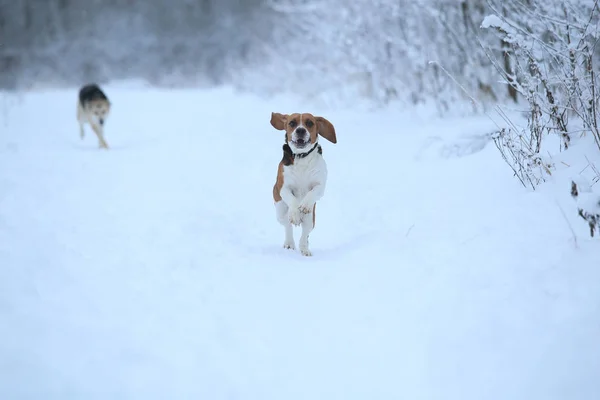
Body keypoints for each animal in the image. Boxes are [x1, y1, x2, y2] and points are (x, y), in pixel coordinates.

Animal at [270, 112, 338, 256]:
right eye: (292, 123)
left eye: (310, 123)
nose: (300, 130)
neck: (302, 157)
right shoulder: (283, 187)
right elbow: (292, 199)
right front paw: (296, 212)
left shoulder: (320, 185)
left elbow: (312, 193)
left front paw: (305, 205)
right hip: (280, 212)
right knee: (287, 225)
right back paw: (289, 243)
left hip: (310, 220)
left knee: (304, 234)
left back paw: (305, 249)